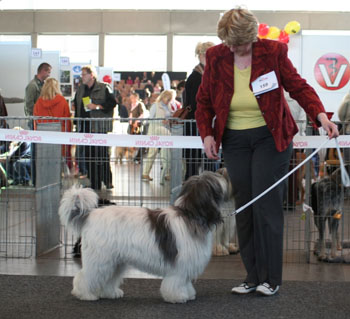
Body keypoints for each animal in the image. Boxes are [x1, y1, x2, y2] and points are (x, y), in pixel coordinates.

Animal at [58, 171, 226, 304]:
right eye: (214, 180)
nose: (223, 175)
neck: (190, 215)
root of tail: (91, 214)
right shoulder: (179, 265)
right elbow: (177, 282)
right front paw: (178, 296)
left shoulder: (186, 265)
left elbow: (186, 282)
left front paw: (189, 294)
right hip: (100, 258)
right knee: (86, 276)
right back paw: (85, 294)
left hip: (114, 260)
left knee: (108, 278)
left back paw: (110, 293)